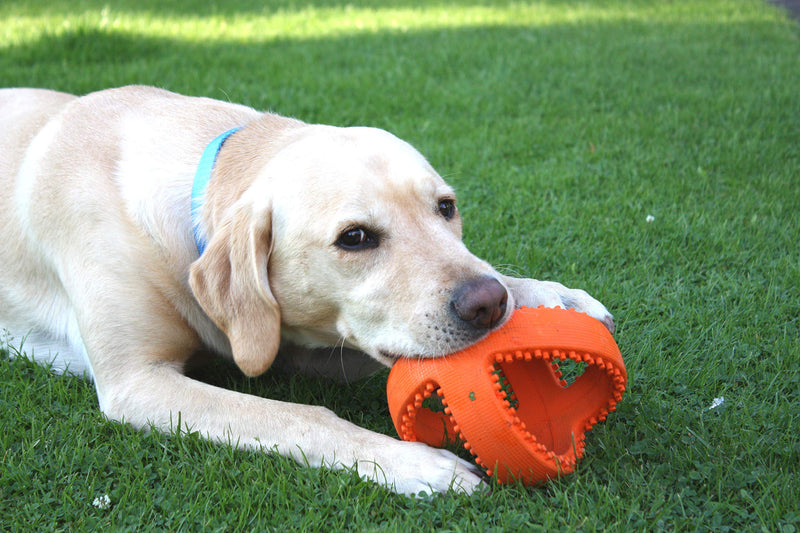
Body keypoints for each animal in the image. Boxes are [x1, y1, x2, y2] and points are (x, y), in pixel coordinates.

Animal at [1, 86, 612, 494]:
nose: (487, 304)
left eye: (446, 207)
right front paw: (414, 462)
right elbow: (299, 416)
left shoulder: (299, 340)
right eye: (355, 238)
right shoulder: (137, 382)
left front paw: (547, 295)